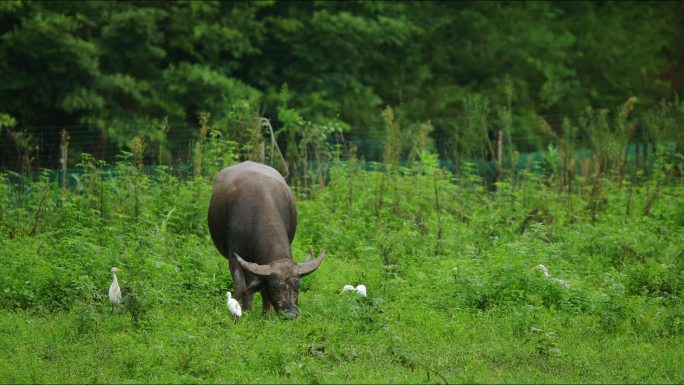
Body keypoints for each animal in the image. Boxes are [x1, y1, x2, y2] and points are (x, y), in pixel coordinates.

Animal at [207, 160, 328, 316]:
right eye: (275, 286)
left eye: (298, 285)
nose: (290, 314)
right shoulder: (234, 256)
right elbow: (240, 285)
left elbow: (262, 291)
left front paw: (266, 315)